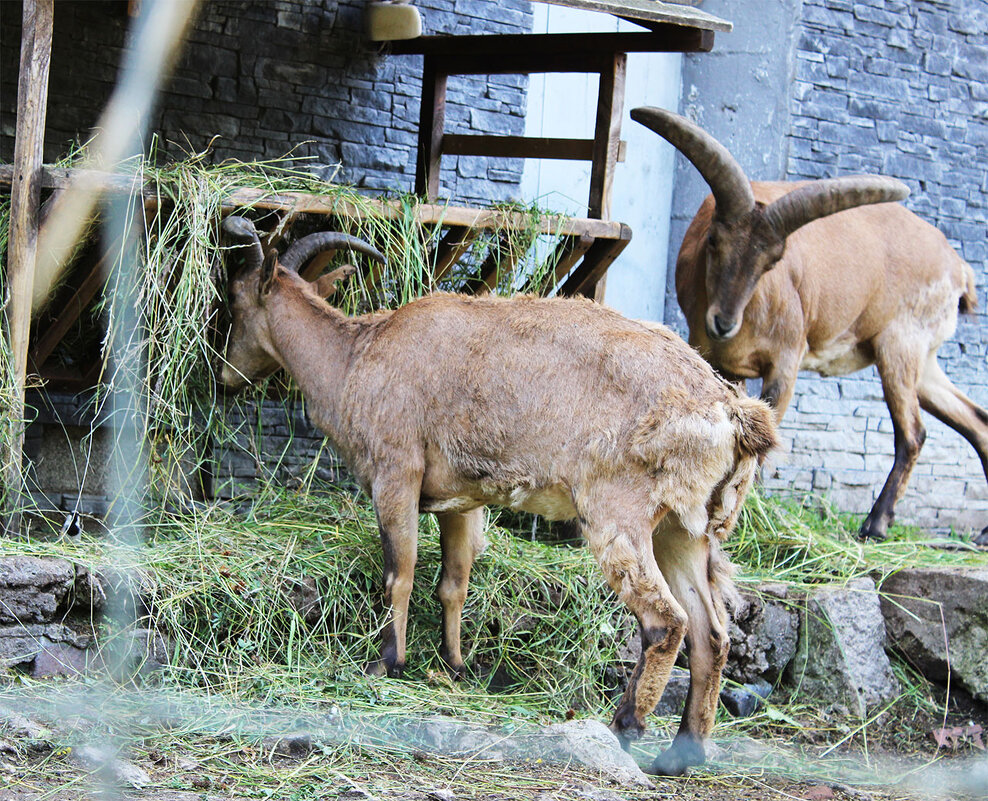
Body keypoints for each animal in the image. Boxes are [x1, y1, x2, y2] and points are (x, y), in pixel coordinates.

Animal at [218, 214, 780, 776]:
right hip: (685, 530)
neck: (357, 357)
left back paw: (627, 726)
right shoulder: (460, 501)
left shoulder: (396, 473)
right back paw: (683, 752)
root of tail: (734, 414)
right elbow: (453, 584)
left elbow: (400, 573)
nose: (224, 378)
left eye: (234, 298)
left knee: (666, 621)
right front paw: (454, 665)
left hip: (619, 514)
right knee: (713, 633)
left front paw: (386, 662)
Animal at [632, 106, 988, 544]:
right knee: (976, 421)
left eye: (773, 261)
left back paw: (875, 524)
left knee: (913, 432)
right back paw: (982, 533)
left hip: (899, 347)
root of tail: (958, 268)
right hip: (925, 360)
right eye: (713, 240)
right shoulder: (719, 361)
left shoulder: (786, 361)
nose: (723, 323)